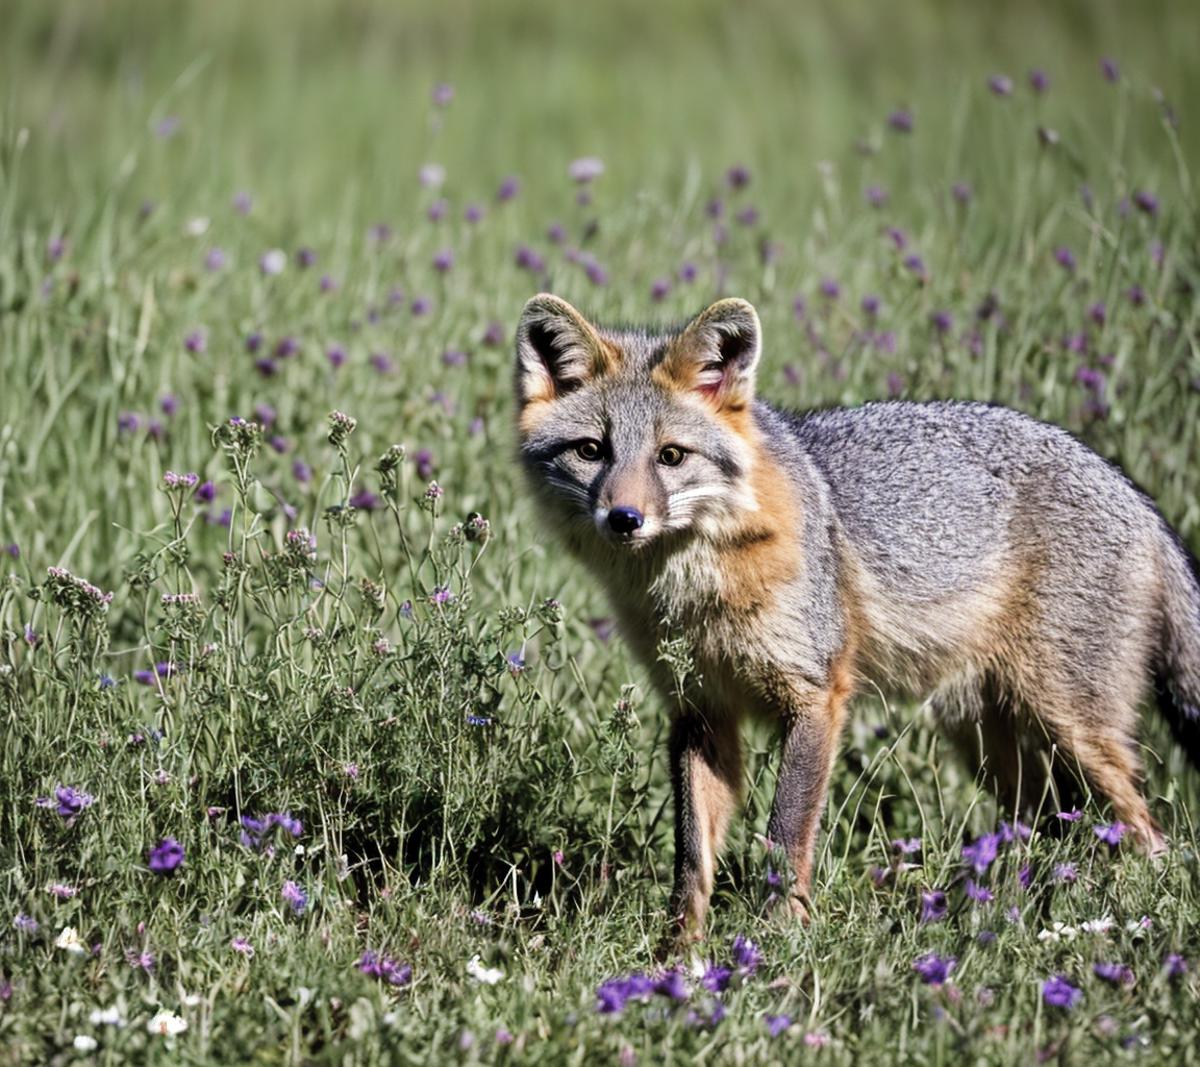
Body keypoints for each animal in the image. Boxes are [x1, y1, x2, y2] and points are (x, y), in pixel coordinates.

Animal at [513, 291, 1200, 950]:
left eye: (671, 456)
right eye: (592, 451)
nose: (624, 519)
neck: (697, 588)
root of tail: (1136, 496)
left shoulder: (816, 695)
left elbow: (785, 834)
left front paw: (776, 943)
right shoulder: (699, 709)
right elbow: (692, 857)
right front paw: (677, 958)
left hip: (1074, 727)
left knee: (1150, 834)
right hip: (986, 741)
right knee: (1057, 824)